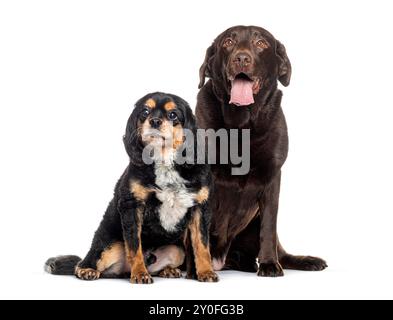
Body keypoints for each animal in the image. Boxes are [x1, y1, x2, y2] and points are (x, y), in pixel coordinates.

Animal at [46, 92, 219, 282]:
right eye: (145, 112)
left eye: (173, 114)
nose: (155, 121)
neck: (164, 161)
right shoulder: (132, 206)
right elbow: (135, 246)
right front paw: (140, 274)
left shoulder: (200, 208)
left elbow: (202, 245)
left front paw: (206, 272)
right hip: (109, 246)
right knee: (86, 261)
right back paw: (88, 270)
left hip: (177, 250)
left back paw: (167, 271)